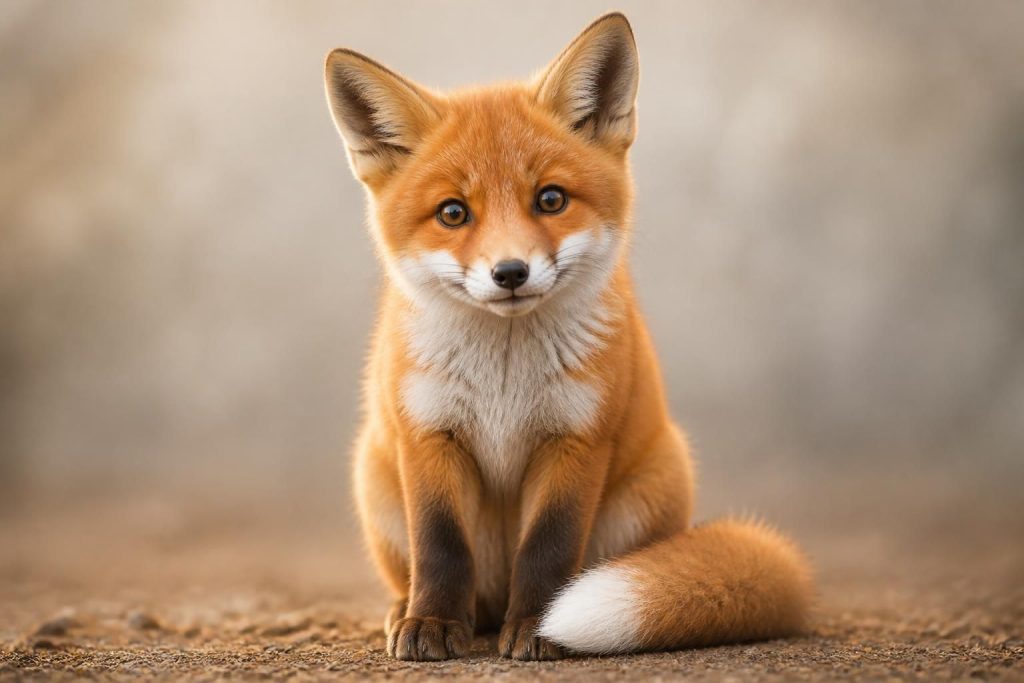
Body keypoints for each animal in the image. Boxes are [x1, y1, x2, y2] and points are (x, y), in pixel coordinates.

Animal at [323, 12, 813, 661]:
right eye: (453, 213)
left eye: (550, 199)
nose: (510, 272)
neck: (504, 378)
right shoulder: (428, 436)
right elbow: (441, 545)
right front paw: (431, 622)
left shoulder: (577, 439)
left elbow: (549, 549)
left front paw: (539, 626)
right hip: (373, 477)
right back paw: (411, 609)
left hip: (654, 482)